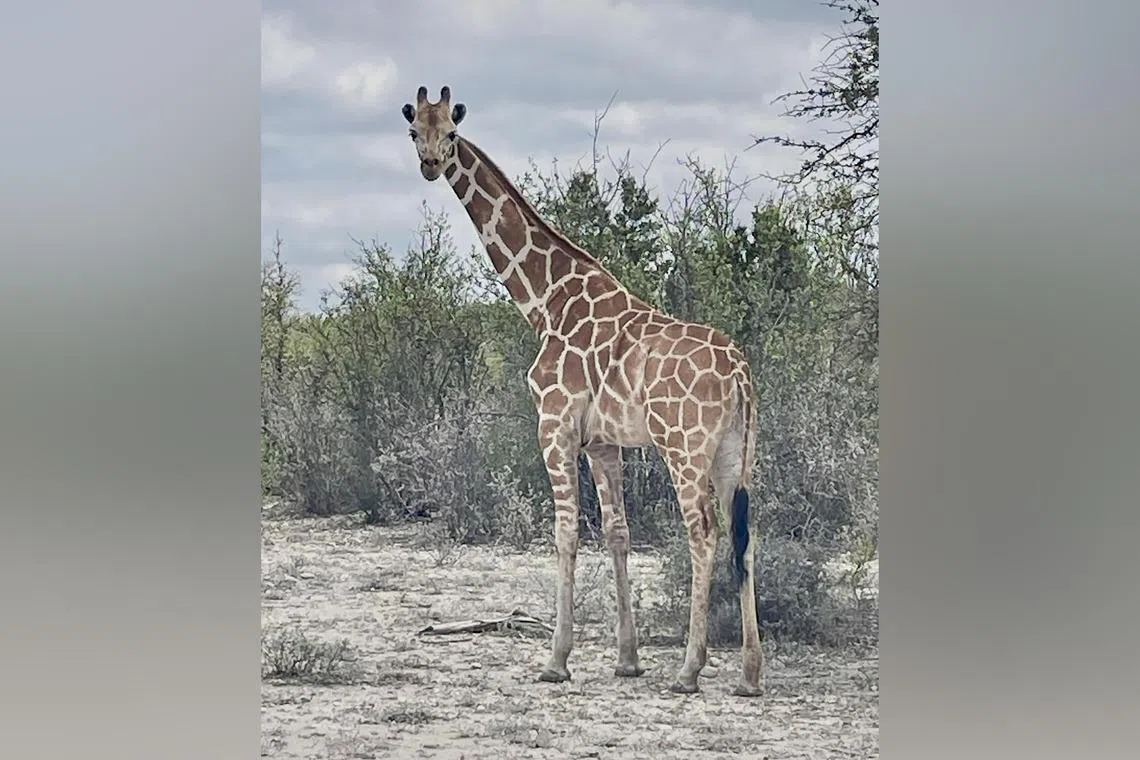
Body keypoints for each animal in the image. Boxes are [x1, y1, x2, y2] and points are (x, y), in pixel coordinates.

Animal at [401, 85, 763, 696]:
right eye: (413, 131)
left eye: (450, 131)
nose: (429, 164)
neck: (545, 301)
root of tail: (739, 371)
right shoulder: (603, 441)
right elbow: (617, 532)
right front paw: (627, 658)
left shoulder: (554, 424)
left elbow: (566, 531)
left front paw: (556, 659)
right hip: (736, 451)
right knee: (746, 533)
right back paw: (750, 674)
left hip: (684, 446)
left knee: (704, 533)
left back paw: (690, 670)